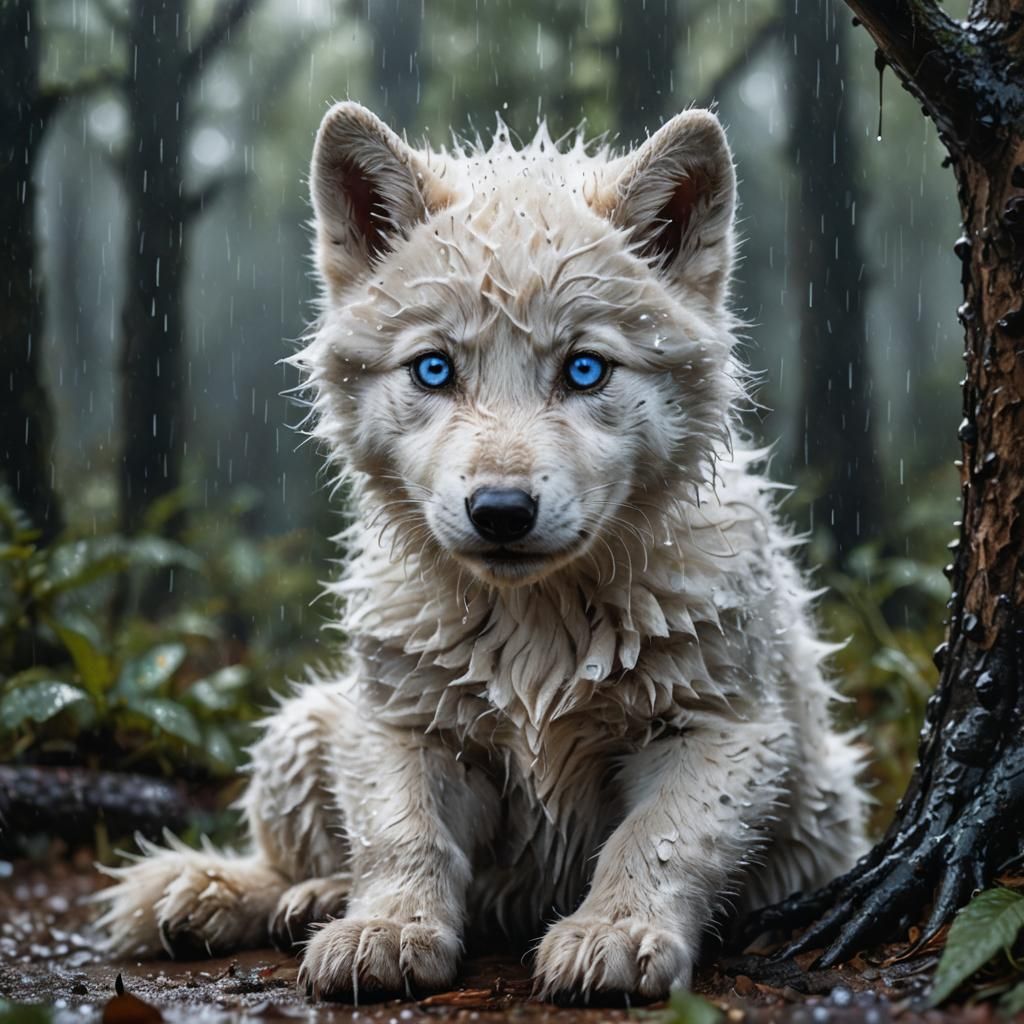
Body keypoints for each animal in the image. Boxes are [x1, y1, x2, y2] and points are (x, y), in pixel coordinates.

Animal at [97, 102, 866, 1002]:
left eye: (585, 370)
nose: (501, 512)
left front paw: (613, 933)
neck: (538, 624)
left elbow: (658, 842)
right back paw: (261, 897)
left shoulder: (721, 730)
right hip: (304, 724)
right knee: (289, 855)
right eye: (434, 370)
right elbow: (402, 838)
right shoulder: (404, 725)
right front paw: (389, 931)